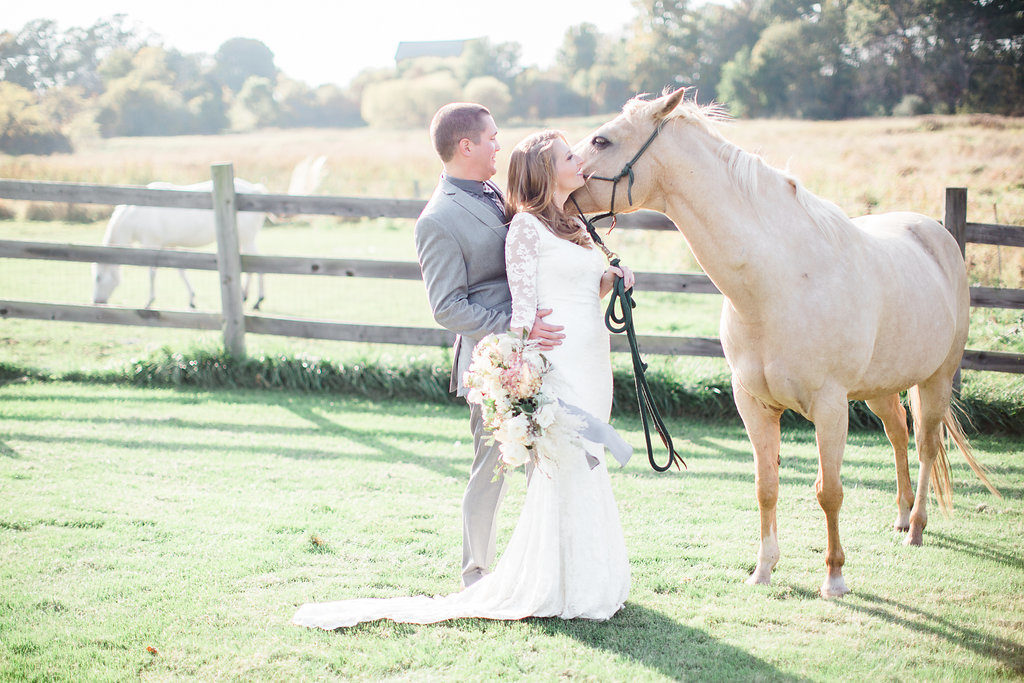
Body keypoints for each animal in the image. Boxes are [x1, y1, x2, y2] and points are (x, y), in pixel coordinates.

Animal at [92, 156, 325, 309]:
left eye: (98, 277)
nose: (96, 301)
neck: (134, 213)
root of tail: (255, 189)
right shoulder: (171, 245)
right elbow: (181, 270)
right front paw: (191, 299)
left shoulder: (152, 243)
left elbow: (151, 271)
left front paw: (149, 301)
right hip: (242, 239)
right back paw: (245, 296)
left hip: (247, 238)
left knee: (257, 264)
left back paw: (257, 300)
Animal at [569, 89, 999, 598]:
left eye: (602, 139)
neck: (780, 281)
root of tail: (937, 234)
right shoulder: (754, 405)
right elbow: (766, 486)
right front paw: (763, 569)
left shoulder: (830, 407)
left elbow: (829, 491)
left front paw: (834, 577)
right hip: (879, 388)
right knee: (898, 433)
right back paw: (899, 515)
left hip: (936, 380)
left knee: (927, 445)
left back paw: (915, 527)